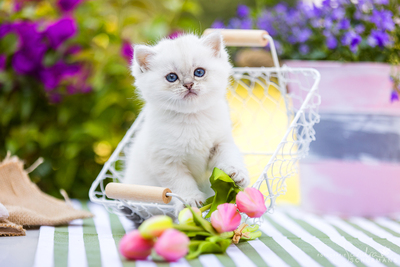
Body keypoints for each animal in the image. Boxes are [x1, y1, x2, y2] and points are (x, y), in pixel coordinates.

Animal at [124, 32, 250, 210]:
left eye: (199, 72)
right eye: (171, 77)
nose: (189, 84)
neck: (192, 118)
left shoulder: (221, 143)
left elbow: (229, 156)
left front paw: (236, 173)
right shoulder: (166, 161)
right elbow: (181, 183)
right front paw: (191, 200)